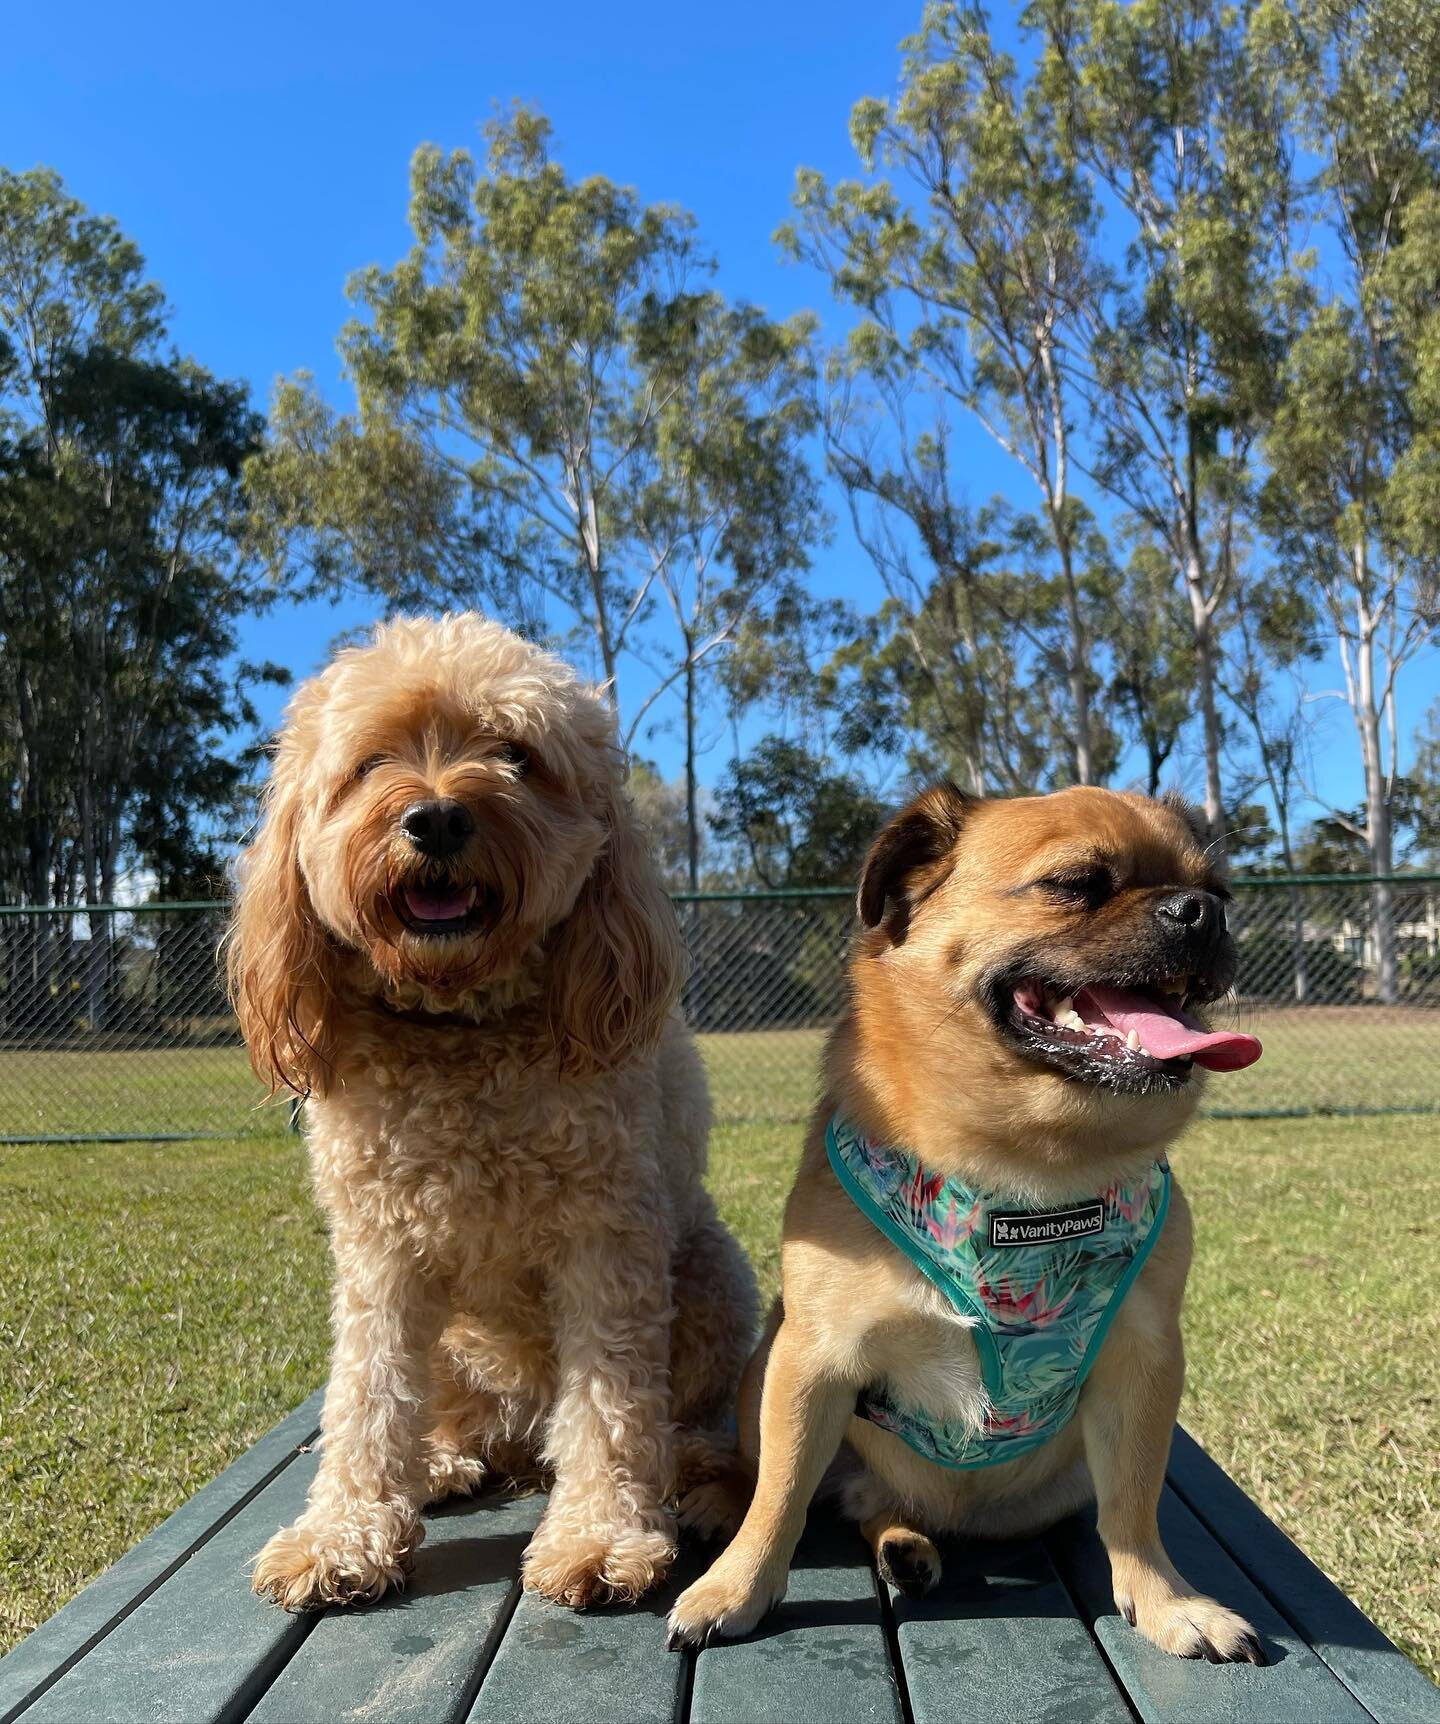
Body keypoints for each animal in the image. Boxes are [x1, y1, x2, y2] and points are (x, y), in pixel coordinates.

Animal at [227, 613, 755, 1606]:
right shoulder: (381, 1255)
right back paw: (443, 1458)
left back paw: (698, 1487)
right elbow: (365, 1396)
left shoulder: (606, 1240)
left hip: (711, 1275)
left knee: (697, 1427)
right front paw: (342, 1534)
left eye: (515, 755)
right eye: (370, 762)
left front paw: (600, 1537)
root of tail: (521, 1432)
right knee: (457, 1421)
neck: (462, 1033)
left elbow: (611, 1401)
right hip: (460, 1345)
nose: (436, 816)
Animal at [669, 789, 1269, 1661]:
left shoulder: (1142, 1367)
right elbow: (779, 1498)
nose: (1201, 912)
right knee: (786, 1482)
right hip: (763, 1368)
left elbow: (1133, 1506)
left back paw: (907, 1546)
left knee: (886, 1509)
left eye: (1220, 889)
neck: (1026, 1174)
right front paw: (736, 1589)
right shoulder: (811, 1362)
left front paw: (1167, 1601)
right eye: (1075, 883)